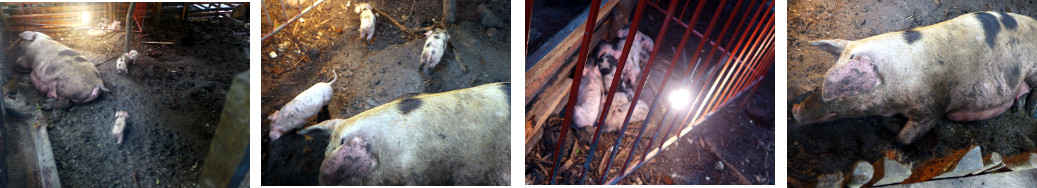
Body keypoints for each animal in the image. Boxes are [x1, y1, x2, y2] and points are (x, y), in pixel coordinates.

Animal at [792, 11, 1037, 145]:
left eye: (842, 92)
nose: (794, 110)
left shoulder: (933, 104)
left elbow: (905, 137)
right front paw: (894, 124)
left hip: (1032, 67)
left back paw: (1028, 111)